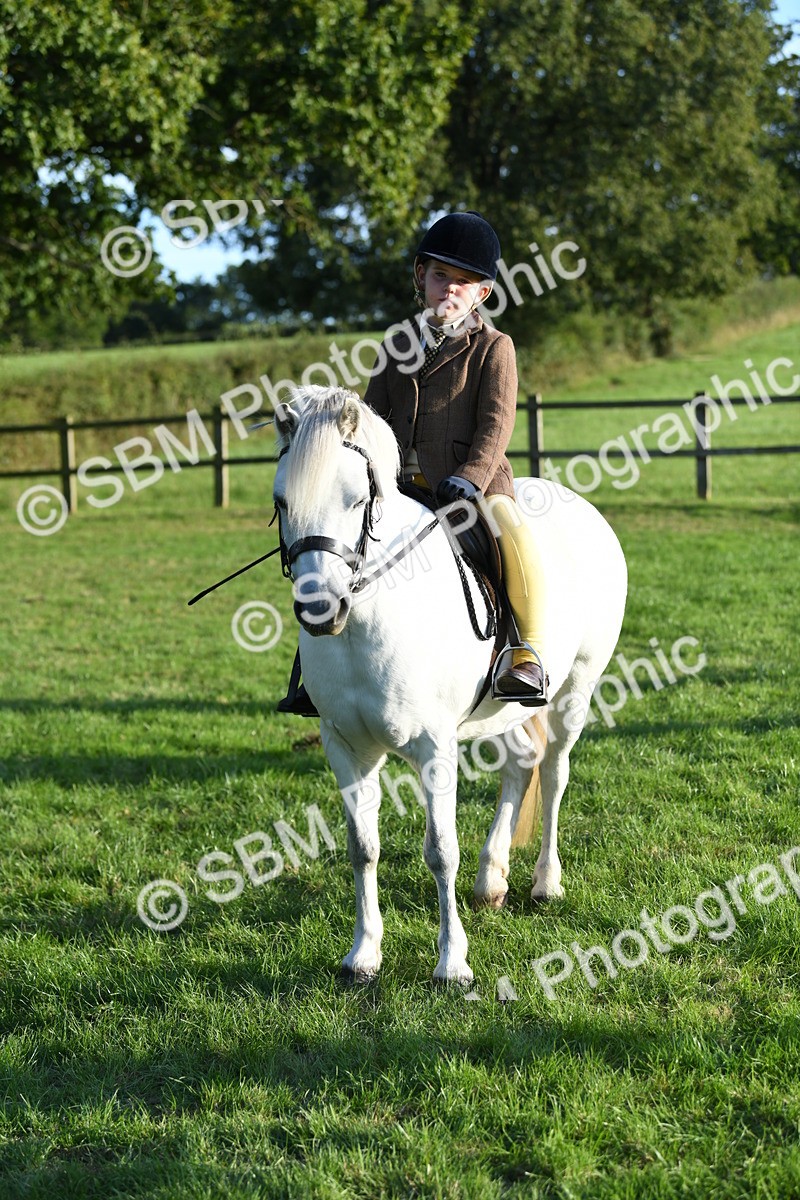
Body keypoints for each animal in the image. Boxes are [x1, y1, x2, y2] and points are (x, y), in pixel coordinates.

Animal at [273, 386, 627, 985]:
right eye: (281, 503)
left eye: (355, 500)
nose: (321, 611)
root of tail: (579, 504)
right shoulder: (345, 745)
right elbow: (361, 847)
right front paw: (363, 955)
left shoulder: (434, 745)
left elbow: (441, 851)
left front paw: (452, 963)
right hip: (502, 709)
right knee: (520, 765)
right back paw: (491, 881)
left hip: (576, 687)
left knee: (555, 772)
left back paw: (545, 883)